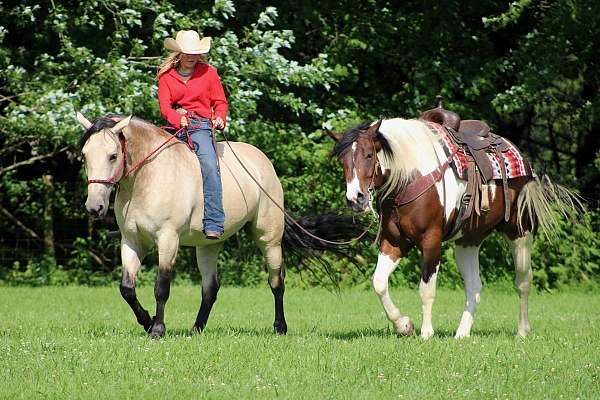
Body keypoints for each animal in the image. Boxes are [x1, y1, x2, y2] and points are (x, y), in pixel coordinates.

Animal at [330, 101, 580, 338]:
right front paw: (404, 326)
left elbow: (426, 289)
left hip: (519, 232)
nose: (355, 198)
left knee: (523, 282)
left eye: (369, 155)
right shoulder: (394, 241)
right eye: (342, 160)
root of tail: (525, 163)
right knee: (474, 287)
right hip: (468, 242)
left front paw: (426, 332)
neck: (410, 176)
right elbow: (379, 283)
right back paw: (462, 332)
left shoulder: (431, 240)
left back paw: (522, 331)